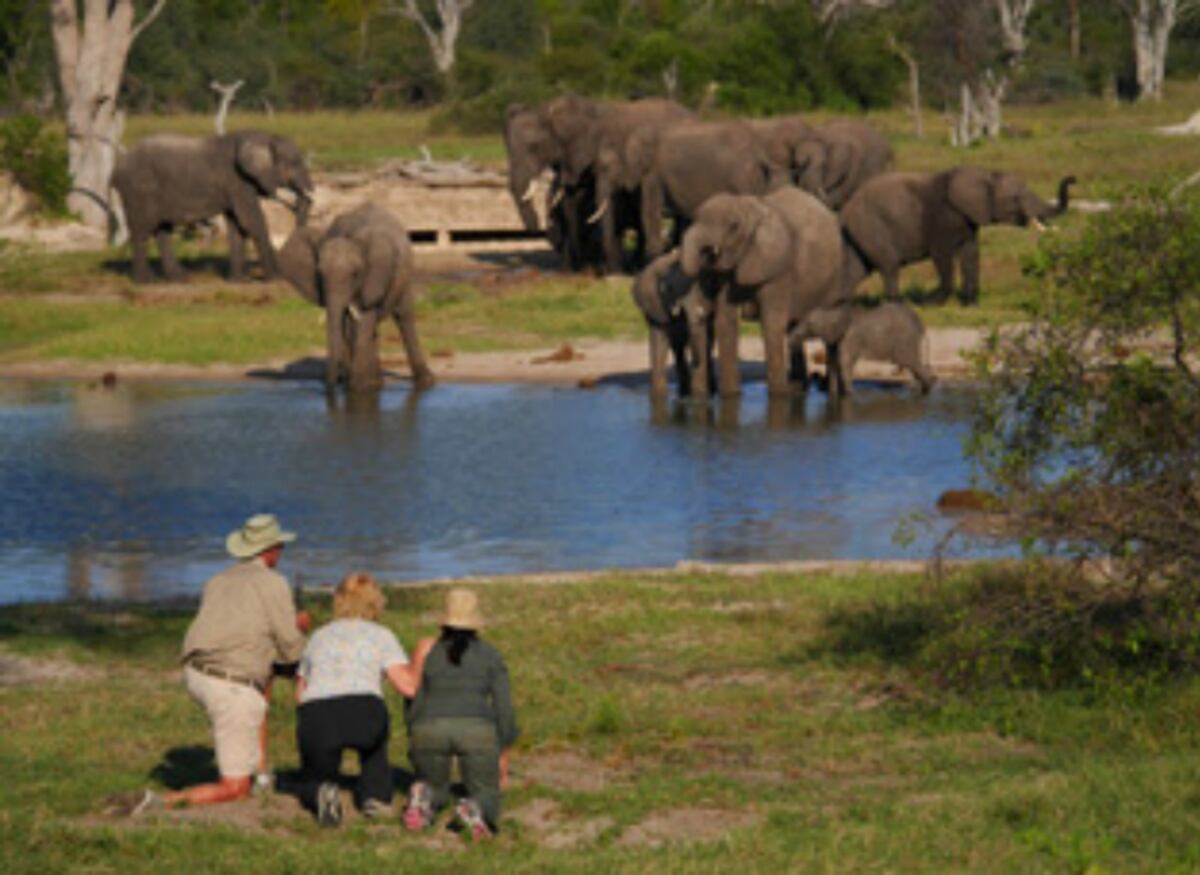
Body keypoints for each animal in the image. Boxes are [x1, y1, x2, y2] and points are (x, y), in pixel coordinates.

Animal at [111, 130, 314, 283]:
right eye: (295, 163)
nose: (296, 201)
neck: (262, 136)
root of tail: (117, 167)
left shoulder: (235, 186)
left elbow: (236, 226)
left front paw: (239, 282)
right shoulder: (238, 181)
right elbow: (251, 221)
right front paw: (276, 279)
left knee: (163, 230)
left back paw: (180, 279)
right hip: (139, 189)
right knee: (142, 230)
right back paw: (145, 282)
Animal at [278, 202, 434, 393]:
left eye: (355, 274)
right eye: (319, 274)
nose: (332, 384)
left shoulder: (373, 278)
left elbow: (362, 318)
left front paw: (359, 387)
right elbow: (347, 324)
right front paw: (360, 385)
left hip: (405, 276)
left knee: (403, 317)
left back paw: (425, 381)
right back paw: (378, 381)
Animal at [680, 187, 847, 398]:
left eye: (734, 226)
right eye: (694, 218)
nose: (707, 253)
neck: (746, 206)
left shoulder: (777, 268)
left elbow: (771, 323)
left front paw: (778, 397)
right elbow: (726, 322)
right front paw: (732, 396)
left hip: (836, 276)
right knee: (793, 327)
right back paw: (797, 388)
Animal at [792, 301, 935, 396]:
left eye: (809, 324)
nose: (792, 339)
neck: (834, 311)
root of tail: (920, 322)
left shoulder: (851, 337)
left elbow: (844, 362)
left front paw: (851, 395)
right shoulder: (833, 340)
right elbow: (832, 362)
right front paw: (833, 395)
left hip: (905, 339)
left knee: (910, 362)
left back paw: (926, 390)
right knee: (912, 364)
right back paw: (918, 390)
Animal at [840, 167, 1076, 305]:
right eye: (1015, 198)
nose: (1073, 179)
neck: (983, 174)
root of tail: (846, 208)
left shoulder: (969, 220)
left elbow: (971, 254)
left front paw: (970, 303)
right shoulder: (943, 218)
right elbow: (942, 256)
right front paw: (932, 302)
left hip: (862, 232)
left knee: (858, 268)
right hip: (870, 226)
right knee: (889, 265)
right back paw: (897, 304)